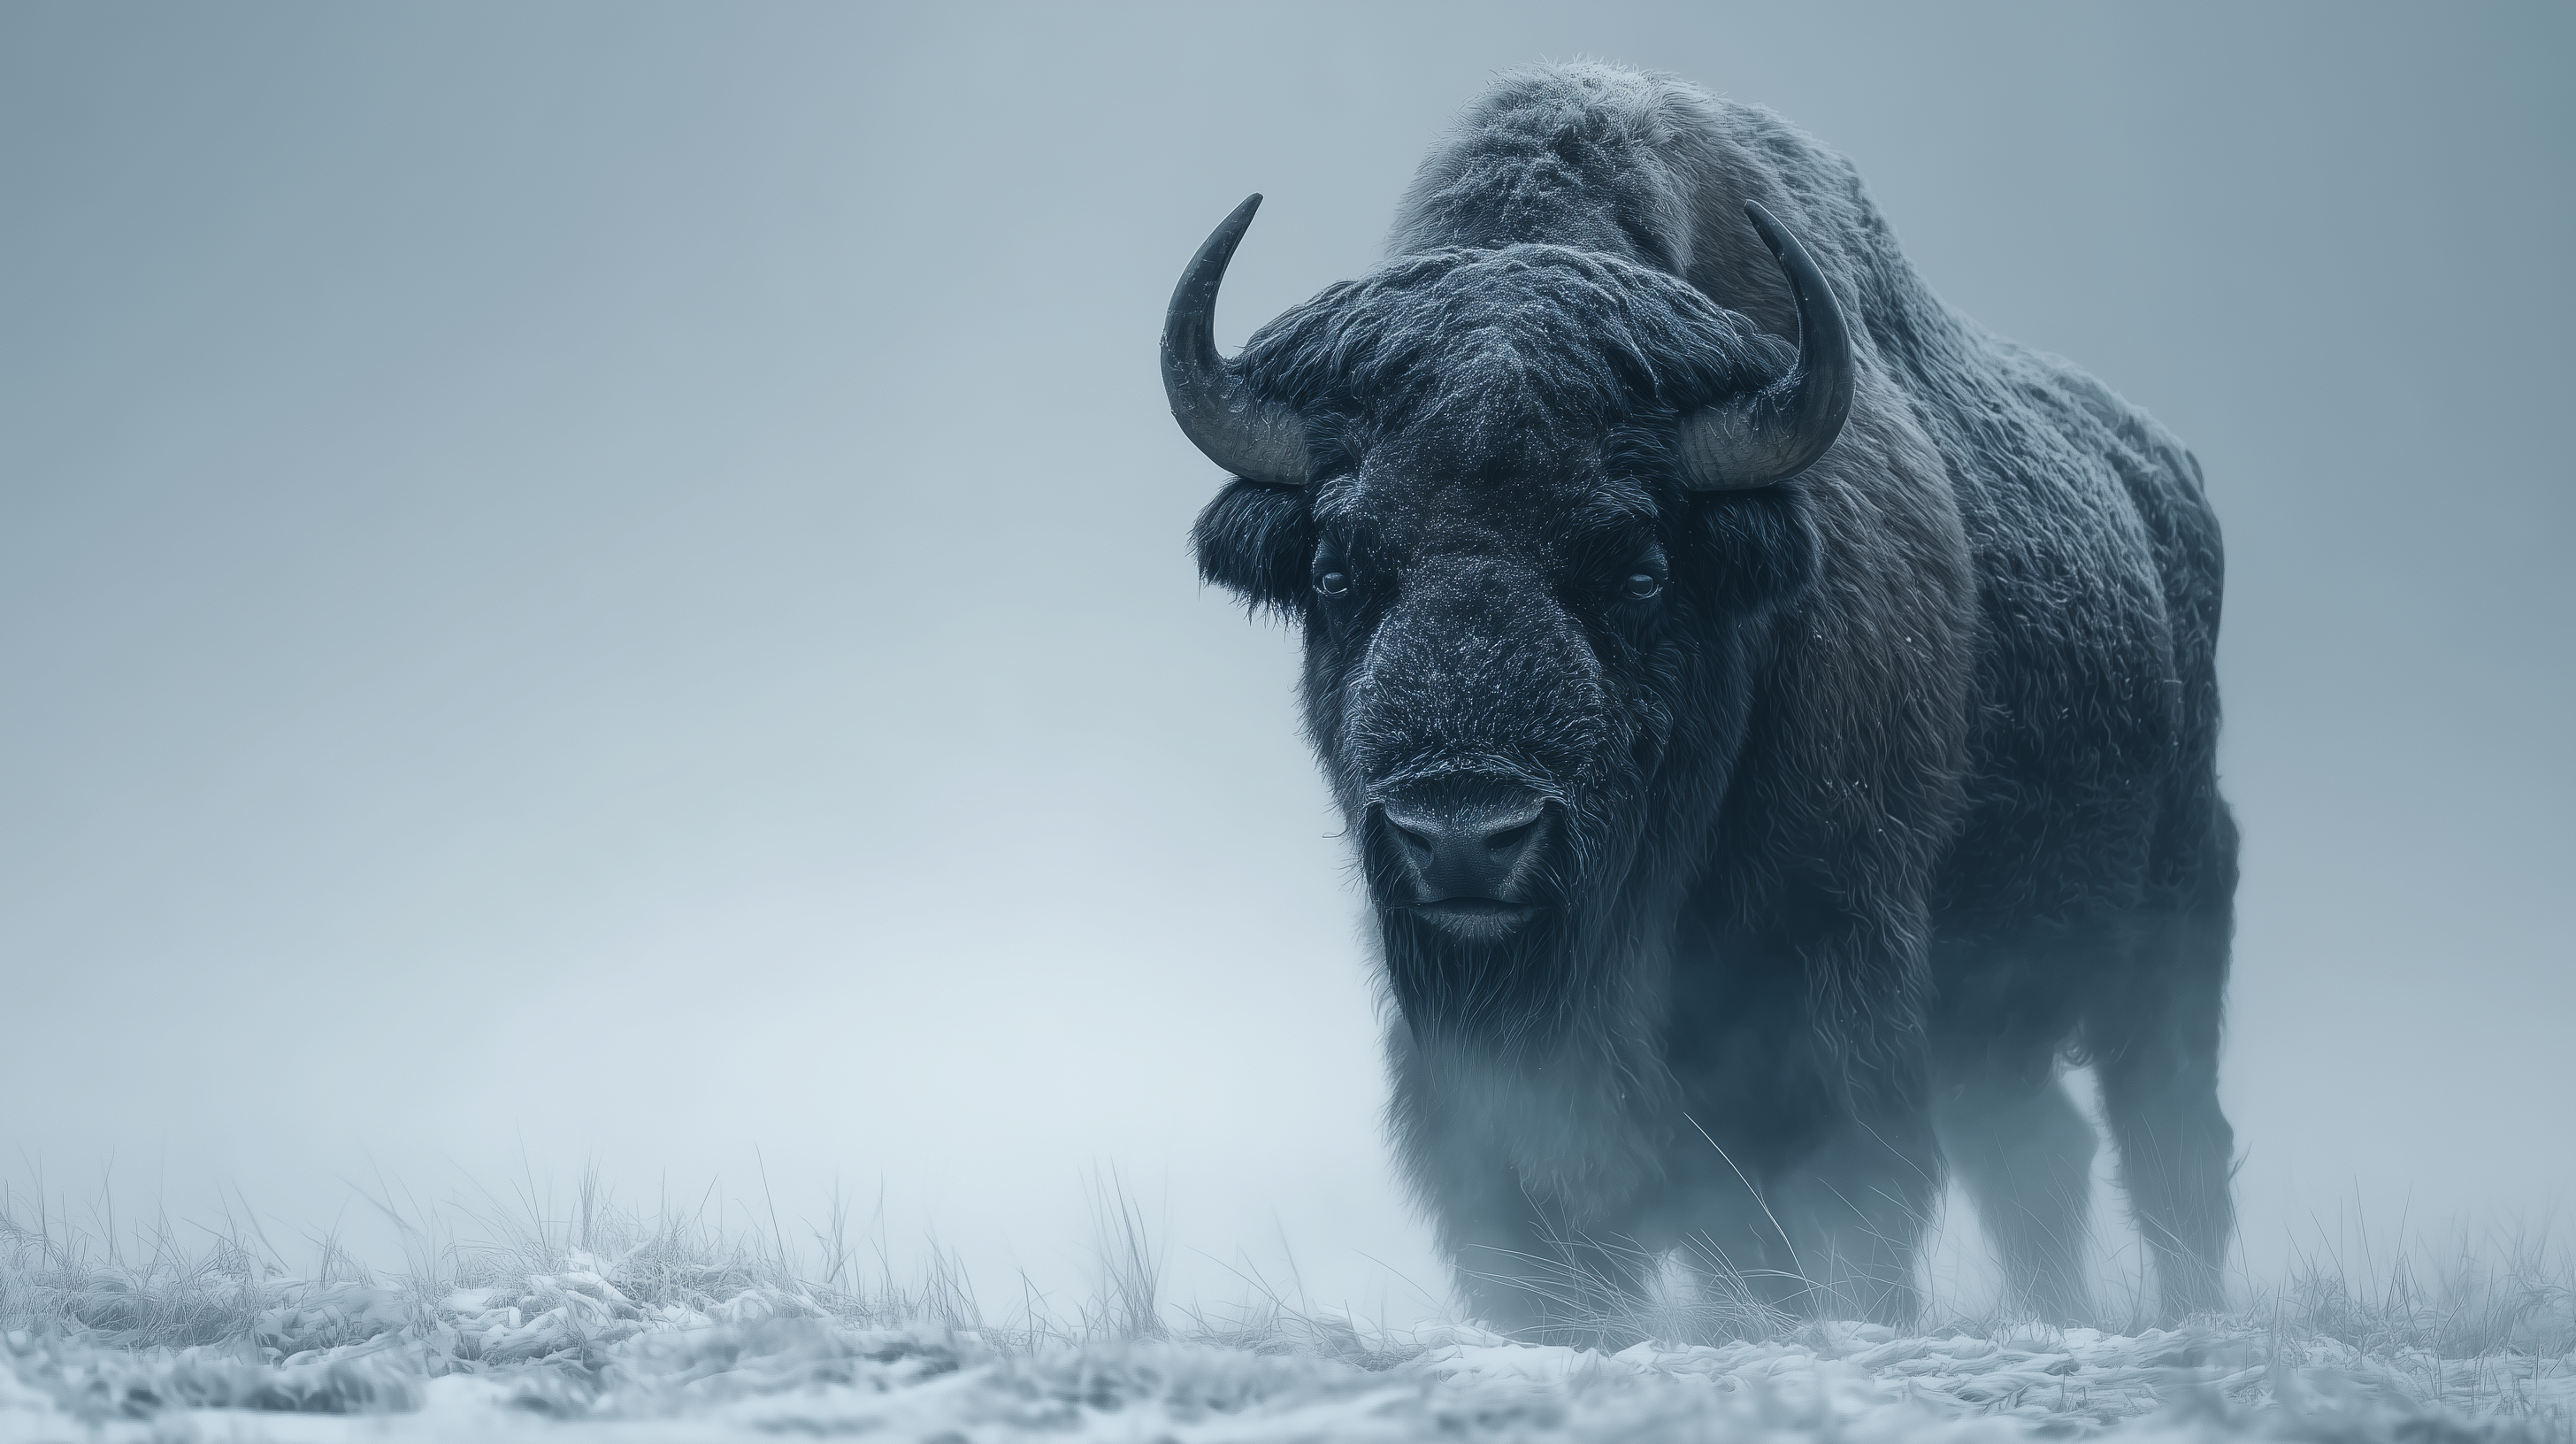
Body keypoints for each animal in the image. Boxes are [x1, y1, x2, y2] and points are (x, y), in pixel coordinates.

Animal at [1166, 63, 2237, 1333]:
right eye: (1335, 568)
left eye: (1639, 567)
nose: (1465, 838)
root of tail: (2161, 478)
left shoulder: (1830, 970)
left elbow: (1832, 1201)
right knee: (2042, 1160)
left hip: (2169, 928)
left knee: (2169, 1145)